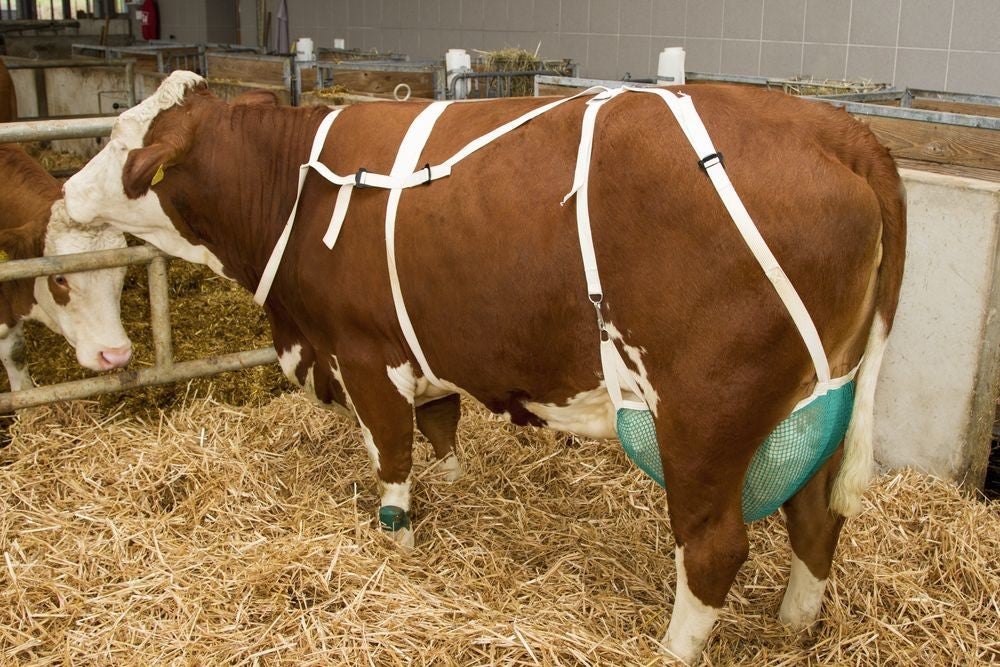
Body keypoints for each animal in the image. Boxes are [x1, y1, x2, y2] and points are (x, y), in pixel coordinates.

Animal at [62, 71, 905, 664]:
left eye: (121, 140)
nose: (67, 189)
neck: (296, 186)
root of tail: (835, 127)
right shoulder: (427, 346)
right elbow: (441, 428)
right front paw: (461, 489)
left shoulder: (363, 349)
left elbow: (393, 462)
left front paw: (397, 548)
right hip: (819, 394)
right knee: (816, 513)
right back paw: (795, 625)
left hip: (705, 414)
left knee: (713, 545)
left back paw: (670, 649)